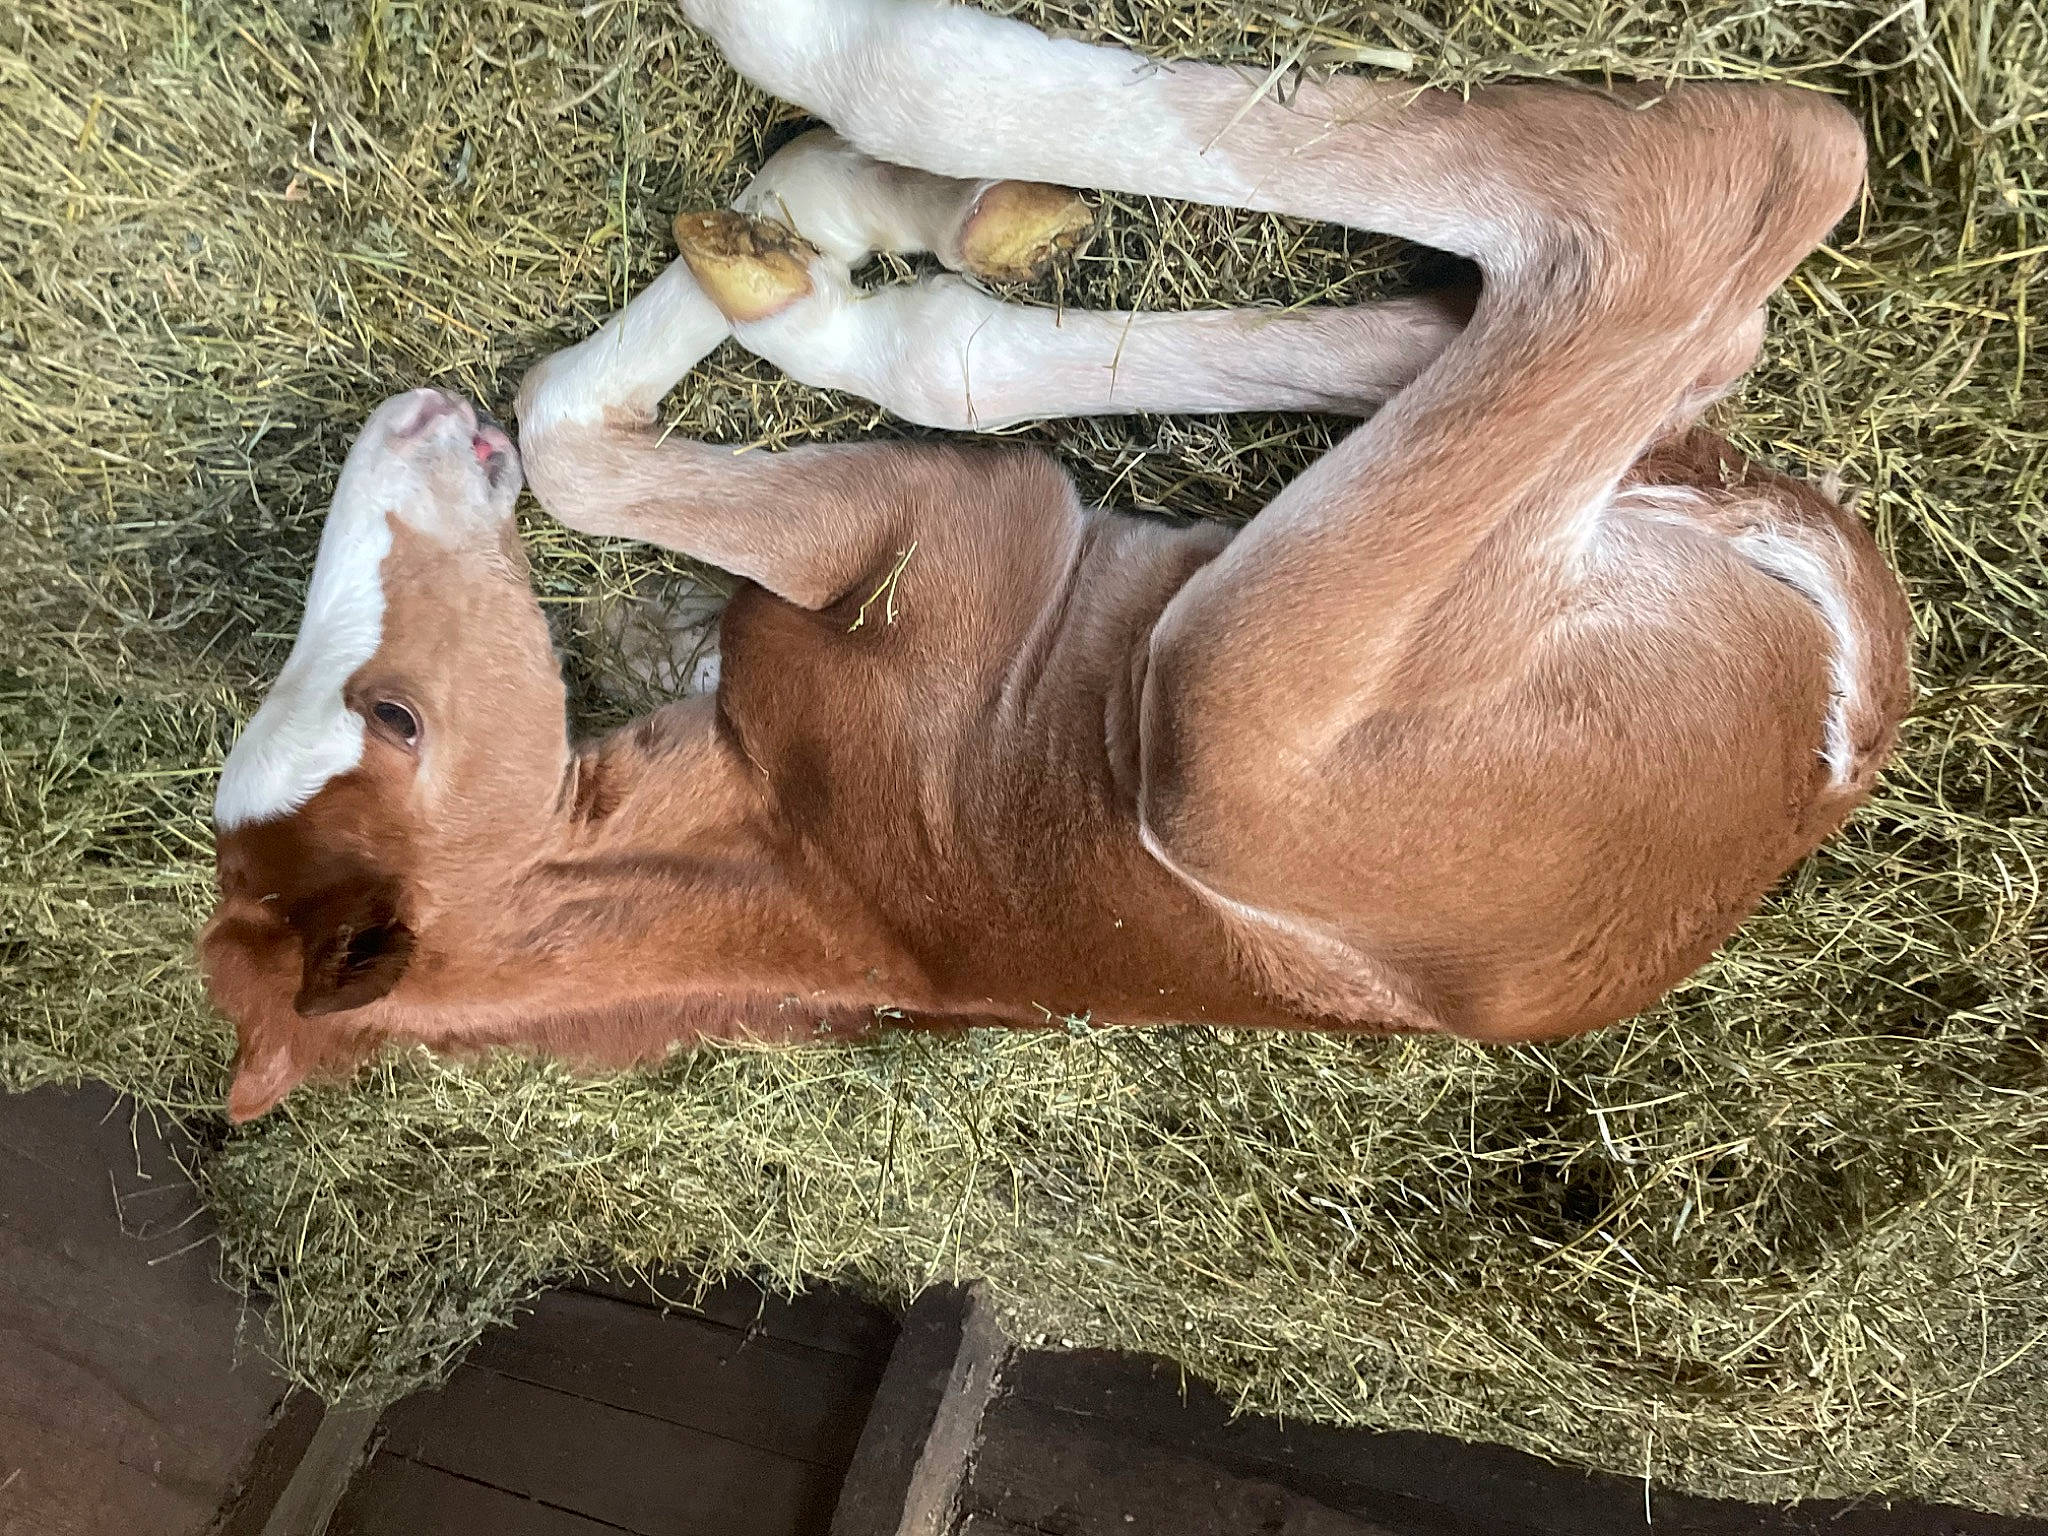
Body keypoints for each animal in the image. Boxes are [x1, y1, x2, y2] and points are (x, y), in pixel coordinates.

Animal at [200, 0, 1912, 1122]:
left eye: (393, 717)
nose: (411, 424)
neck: (800, 854)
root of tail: (1837, 734)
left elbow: (569, 425)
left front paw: (797, 231)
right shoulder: (952, 524)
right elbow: (580, 425)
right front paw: (807, 253)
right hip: (1226, 715)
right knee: (1704, 216)